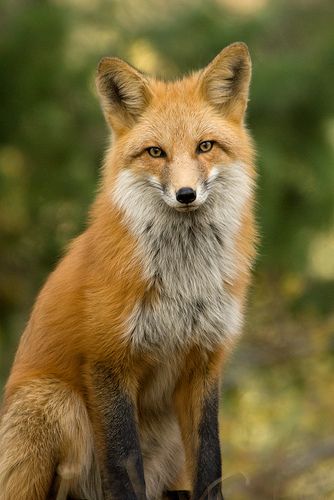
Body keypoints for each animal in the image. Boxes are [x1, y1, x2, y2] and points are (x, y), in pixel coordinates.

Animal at [0, 44, 256, 500]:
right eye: (156, 152)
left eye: (205, 146)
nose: (186, 194)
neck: (183, 283)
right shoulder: (108, 361)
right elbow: (123, 463)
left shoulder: (205, 363)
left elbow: (210, 462)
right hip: (55, 401)